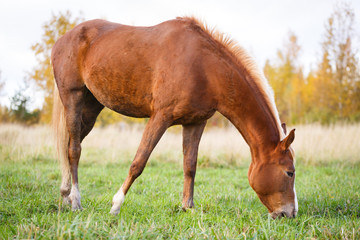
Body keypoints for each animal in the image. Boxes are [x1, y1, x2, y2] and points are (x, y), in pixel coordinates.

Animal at [51, 16, 298, 218]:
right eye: (290, 172)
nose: (290, 213)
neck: (204, 67)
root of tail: (63, 40)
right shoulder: (160, 117)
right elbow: (138, 162)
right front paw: (116, 205)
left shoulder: (195, 122)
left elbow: (190, 165)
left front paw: (187, 207)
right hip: (73, 97)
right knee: (74, 150)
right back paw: (76, 202)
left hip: (92, 106)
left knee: (70, 145)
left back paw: (65, 196)